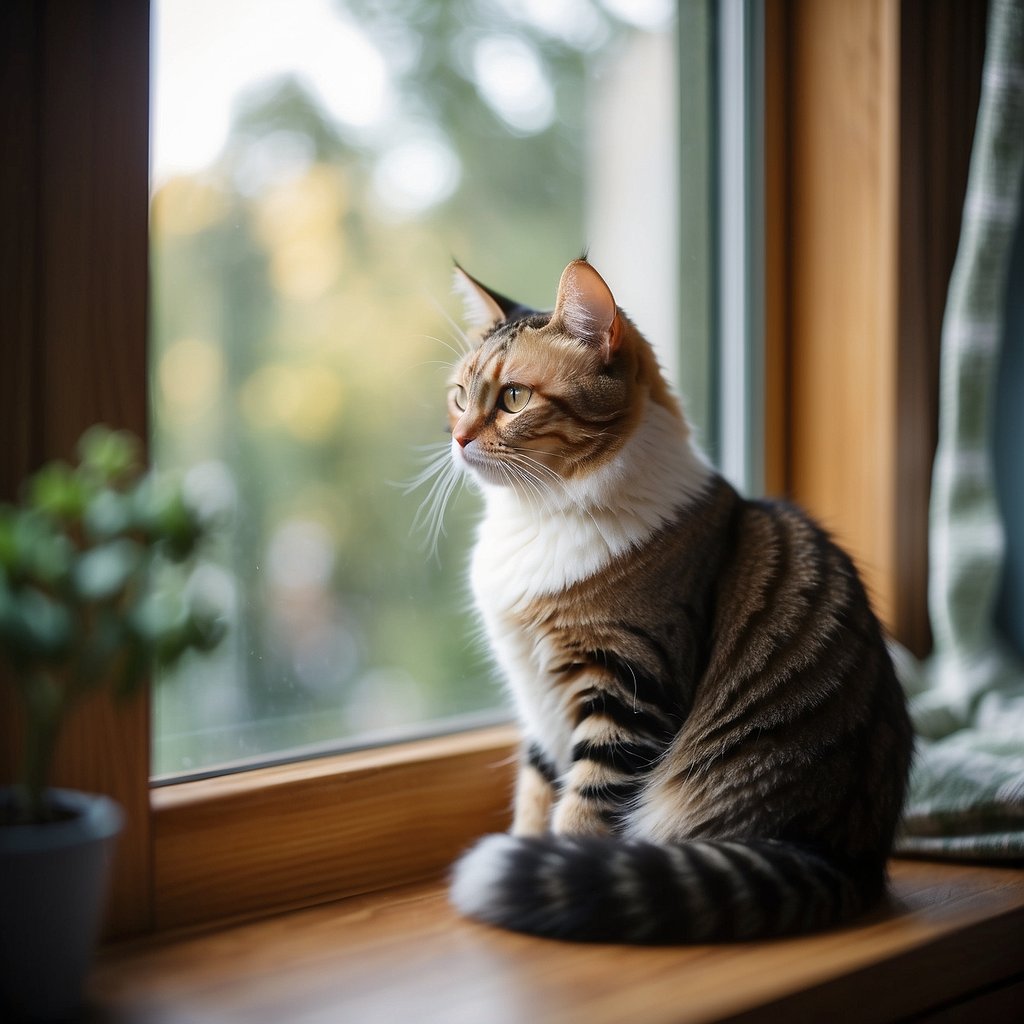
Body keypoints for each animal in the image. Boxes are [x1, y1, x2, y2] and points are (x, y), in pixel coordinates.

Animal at [440, 258, 913, 942]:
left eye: (514, 398)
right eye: (458, 395)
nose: (456, 437)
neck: (537, 516)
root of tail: (847, 862)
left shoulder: (628, 683)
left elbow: (582, 810)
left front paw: (558, 874)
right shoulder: (536, 701)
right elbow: (534, 793)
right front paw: (529, 853)